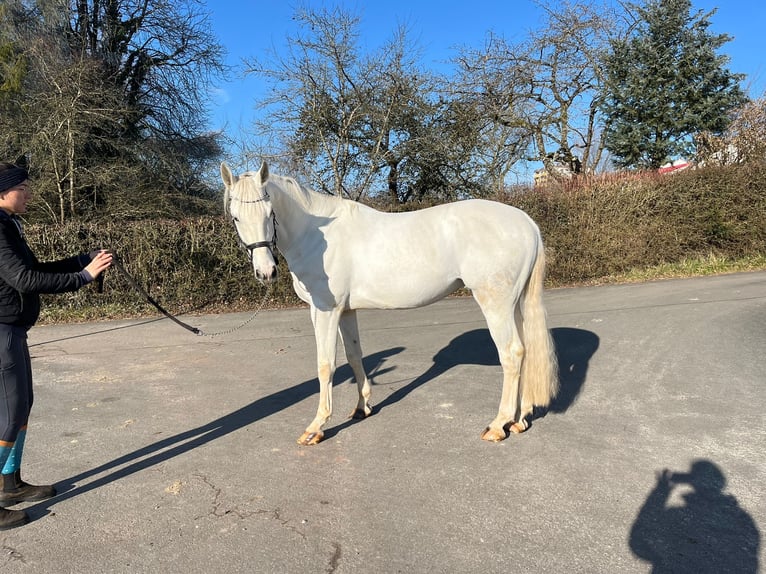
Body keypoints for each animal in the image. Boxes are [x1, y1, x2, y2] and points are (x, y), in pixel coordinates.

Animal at [220, 162, 560, 446]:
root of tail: (526, 222)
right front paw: (362, 407)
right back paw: (519, 421)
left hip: (496, 304)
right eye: (236, 217)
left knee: (511, 354)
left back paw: (498, 425)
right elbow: (354, 356)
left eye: (270, 213)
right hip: (514, 304)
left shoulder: (325, 311)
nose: (266, 272)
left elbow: (326, 365)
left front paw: (316, 427)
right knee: (525, 350)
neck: (317, 237)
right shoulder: (346, 311)